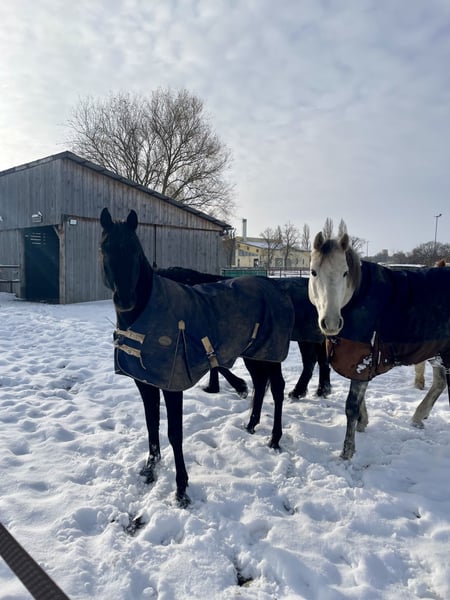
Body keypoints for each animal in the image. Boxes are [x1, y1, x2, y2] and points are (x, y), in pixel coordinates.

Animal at [100, 208, 295, 506]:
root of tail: (276, 288)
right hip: (253, 353)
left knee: (278, 389)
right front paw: (150, 468)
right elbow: (151, 423)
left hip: (270, 354)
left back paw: (274, 439)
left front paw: (181, 489)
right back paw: (251, 425)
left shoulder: (172, 385)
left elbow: (174, 433)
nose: (124, 300)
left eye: (134, 249)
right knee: (261, 384)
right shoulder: (145, 382)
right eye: (105, 247)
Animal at [308, 231, 450, 459]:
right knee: (439, 383)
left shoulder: (363, 359)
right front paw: (363, 423)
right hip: (438, 351)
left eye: (345, 273)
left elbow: (351, 405)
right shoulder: (358, 363)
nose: (330, 323)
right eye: (313, 272)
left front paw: (347, 451)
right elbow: (360, 400)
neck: (359, 296)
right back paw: (418, 417)